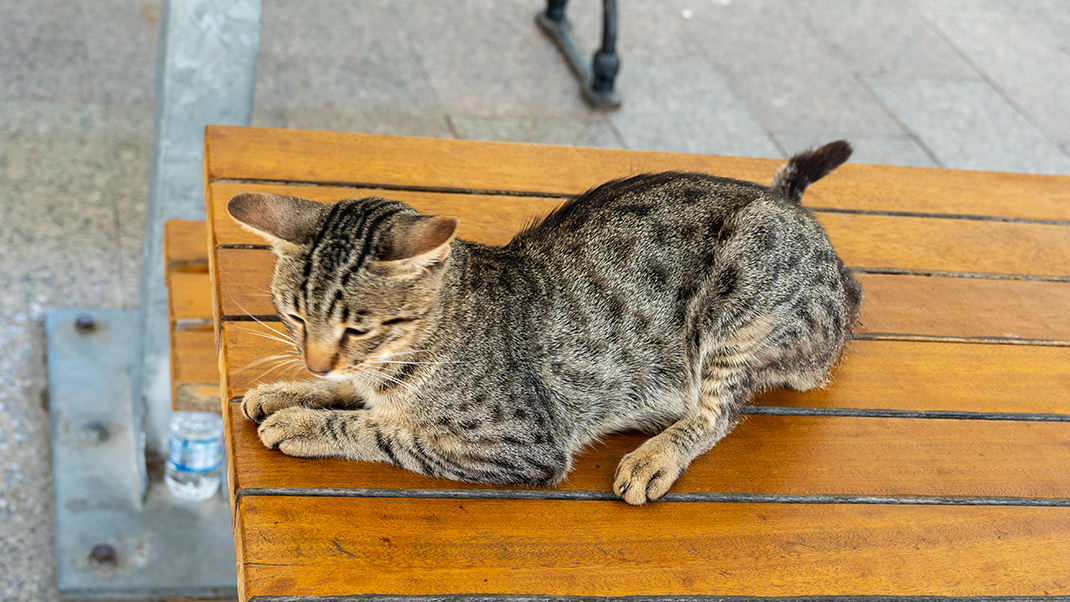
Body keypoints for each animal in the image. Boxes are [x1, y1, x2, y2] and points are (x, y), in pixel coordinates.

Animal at [230, 141, 864, 504]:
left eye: (358, 328)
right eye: (294, 315)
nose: (315, 360)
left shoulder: (519, 444)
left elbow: (384, 430)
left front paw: (304, 423)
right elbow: (354, 396)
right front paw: (289, 390)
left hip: (739, 303)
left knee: (718, 413)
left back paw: (655, 456)